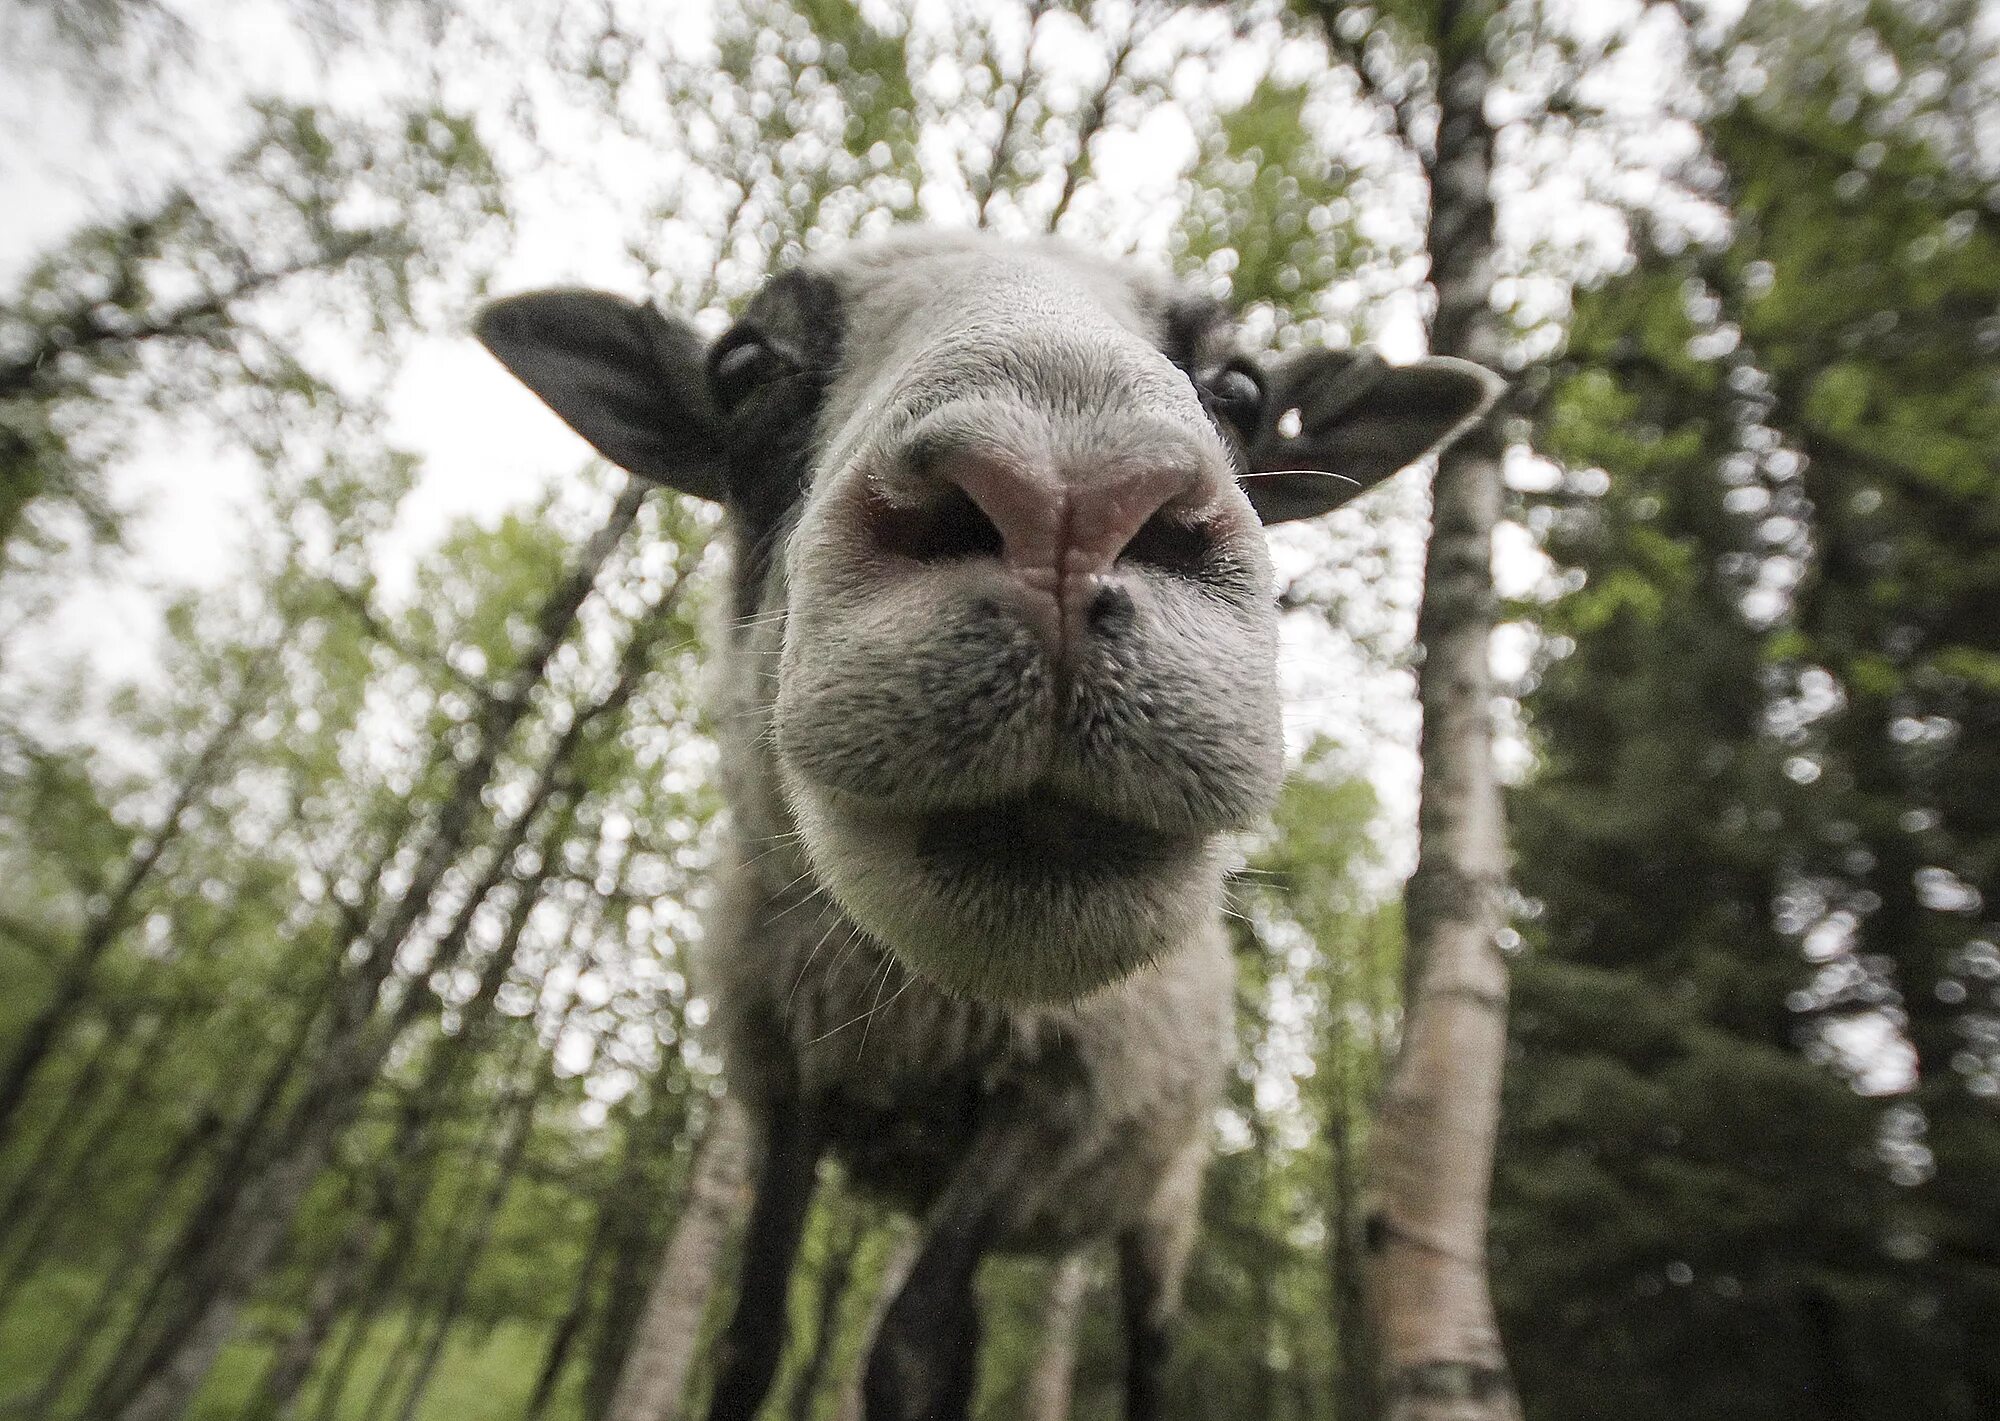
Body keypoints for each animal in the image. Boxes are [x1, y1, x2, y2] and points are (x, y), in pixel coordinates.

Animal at [476, 234, 1496, 1421]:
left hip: (1162, 1196)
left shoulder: (1056, 1097)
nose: (1065, 509)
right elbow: (751, 1338)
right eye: (740, 364)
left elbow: (907, 1350)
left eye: (1244, 388)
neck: (926, 1001)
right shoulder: (790, 1077)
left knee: (1141, 1351)